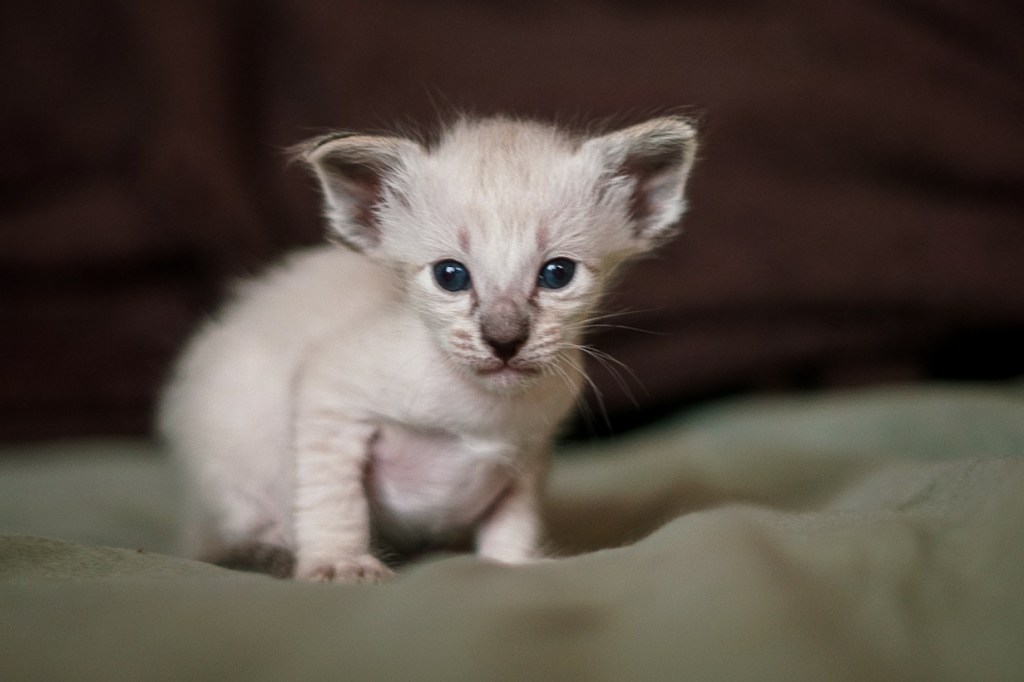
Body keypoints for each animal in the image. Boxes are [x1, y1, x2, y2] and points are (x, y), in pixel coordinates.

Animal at [157, 115, 698, 582]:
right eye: (450, 276)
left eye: (557, 274)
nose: (504, 340)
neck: (482, 411)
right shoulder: (329, 399)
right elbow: (335, 499)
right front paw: (339, 563)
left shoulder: (529, 451)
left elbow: (514, 524)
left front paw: (510, 567)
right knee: (226, 538)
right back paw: (271, 552)